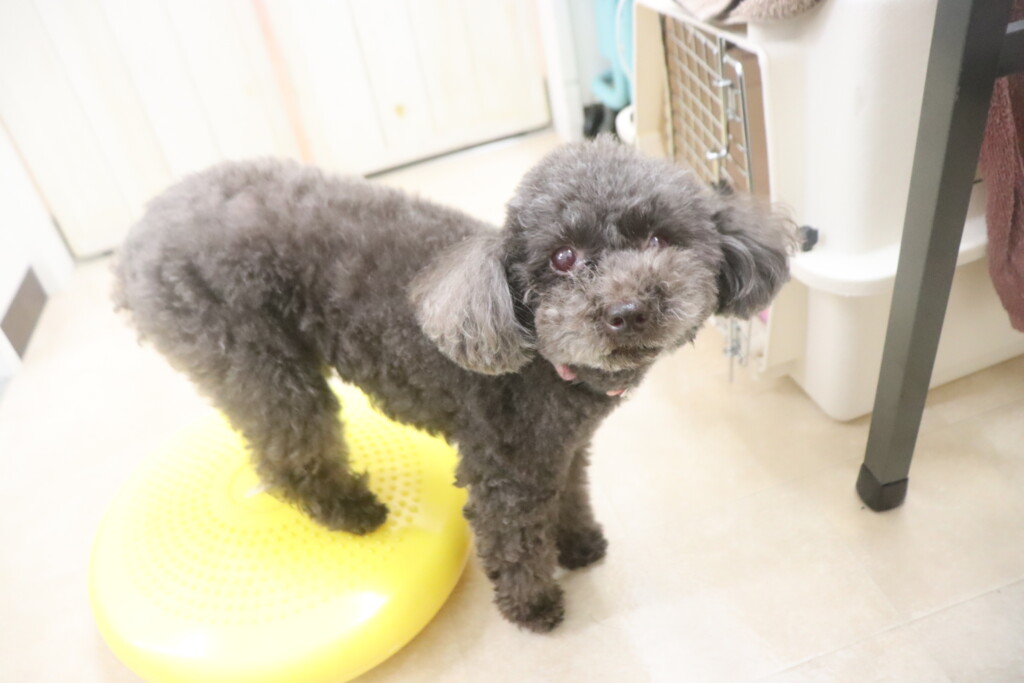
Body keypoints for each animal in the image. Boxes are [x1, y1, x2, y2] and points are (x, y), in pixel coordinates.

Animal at [114, 136, 793, 632]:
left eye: (657, 237)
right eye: (563, 259)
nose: (627, 312)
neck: (540, 357)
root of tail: (140, 237)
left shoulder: (562, 449)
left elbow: (570, 496)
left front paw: (577, 544)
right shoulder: (506, 472)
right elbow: (515, 545)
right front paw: (533, 607)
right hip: (258, 362)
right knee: (288, 458)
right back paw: (352, 510)